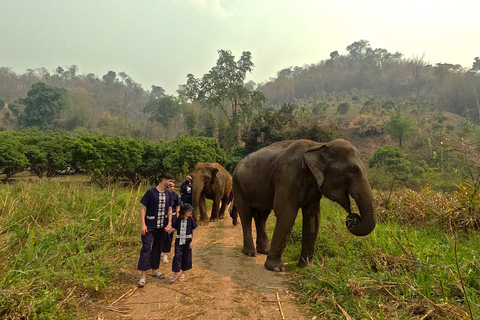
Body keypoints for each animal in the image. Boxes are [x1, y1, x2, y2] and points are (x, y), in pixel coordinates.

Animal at [232, 139, 376, 272]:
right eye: (353, 170)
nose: (353, 216)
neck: (319, 145)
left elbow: (313, 218)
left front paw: (307, 268)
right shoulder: (287, 176)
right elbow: (286, 213)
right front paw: (276, 268)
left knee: (262, 216)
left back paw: (264, 251)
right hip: (237, 185)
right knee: (246, 214)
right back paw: (250, 253)